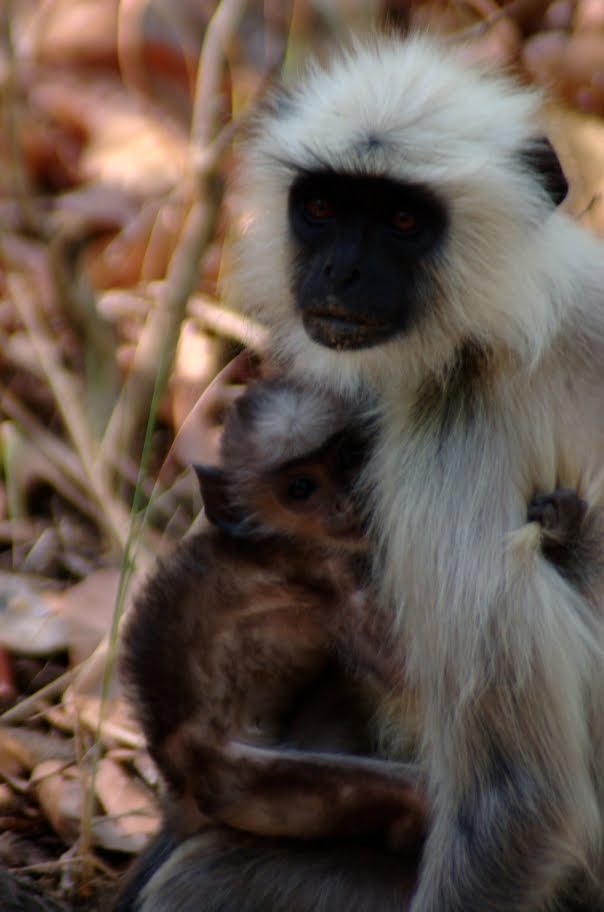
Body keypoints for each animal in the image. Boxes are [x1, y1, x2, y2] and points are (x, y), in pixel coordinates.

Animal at [120, 377, 425, 848]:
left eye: (348, 459)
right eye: (300, 489)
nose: (347, 501)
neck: (278, 540)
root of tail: (182, 777)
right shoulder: (323, 574)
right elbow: (409, 673)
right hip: (252, 785)